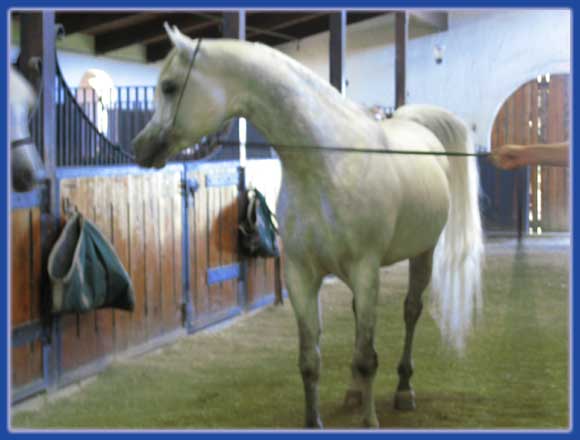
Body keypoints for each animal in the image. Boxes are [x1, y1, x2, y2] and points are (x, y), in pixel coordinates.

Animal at [132, 24, 483, 429]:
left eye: (170, 87)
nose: (139, 148)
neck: (328, 164)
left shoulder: (366, 270)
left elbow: (367, 358)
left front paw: (370, 420)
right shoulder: (301, 275)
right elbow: (310, 360)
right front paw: (314, 419)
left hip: (421, 253)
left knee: (411, 311)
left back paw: (403, 389)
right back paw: (352, 392)